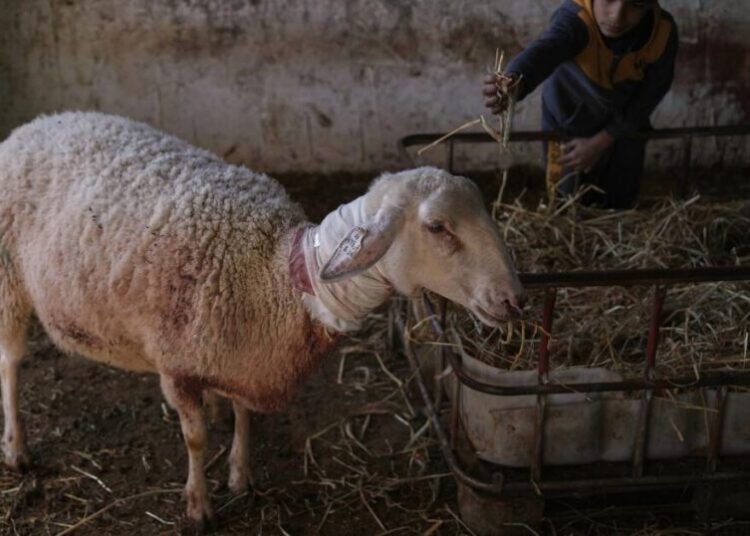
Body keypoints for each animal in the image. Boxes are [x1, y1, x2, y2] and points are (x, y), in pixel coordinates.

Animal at [0, 111, 524, 527]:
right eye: (438, 227)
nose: (513, 299)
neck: (275, 274)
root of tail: (38, 124)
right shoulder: (175, 366)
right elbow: (194, 438)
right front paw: (199, 506)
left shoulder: (245, 356)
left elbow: (242, 415)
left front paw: (241, 474)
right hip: (8, 284)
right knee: (11, 363)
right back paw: (18, 448)